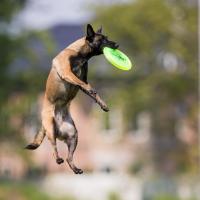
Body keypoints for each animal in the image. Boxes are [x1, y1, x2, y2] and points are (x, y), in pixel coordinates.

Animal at [25, 23, 119, 173]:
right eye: (102, 39)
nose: (117, 44)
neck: (79, 54)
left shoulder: (84, 79)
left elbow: (93, 92)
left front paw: (102, 104)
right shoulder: (67, 73)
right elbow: (82, 84)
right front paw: (93, 92)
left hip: (74, 135)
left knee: (69, 158)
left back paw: (76, 169)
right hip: (50, 128)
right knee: (53, 147)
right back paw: (58, 159)